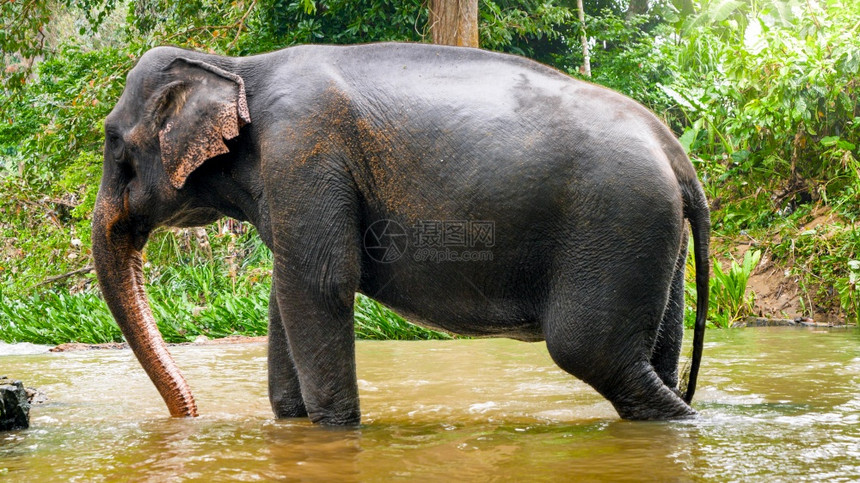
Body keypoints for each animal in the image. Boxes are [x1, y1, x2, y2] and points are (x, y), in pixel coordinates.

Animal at [92, 42, 712, 428]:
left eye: (114, 143)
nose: (192, 416)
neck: (235, 66)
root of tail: (677, 152)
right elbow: (286, 298)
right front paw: (293, 425)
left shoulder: (304, 152)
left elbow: (319, 287)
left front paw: (336, 433)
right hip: (652, 235)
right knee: (655, 352)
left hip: (615, 223)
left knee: (589, 351)